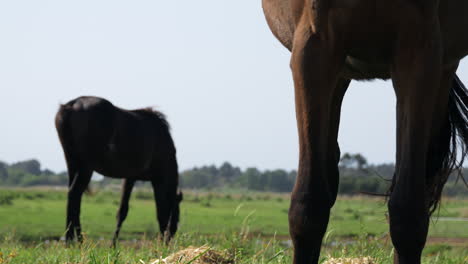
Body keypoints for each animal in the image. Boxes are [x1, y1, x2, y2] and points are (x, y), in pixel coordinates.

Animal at [55, 96, 184, 245]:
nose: (168, 240)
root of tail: (71, 105)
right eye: (177, 217)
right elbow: (131, 211)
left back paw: (71, 239)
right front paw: (113, 244)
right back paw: (76, 240)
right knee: (75, 194)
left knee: (72, 196)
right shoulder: (143, 178)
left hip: (72, 163)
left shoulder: (137, 179)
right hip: (86, 167)